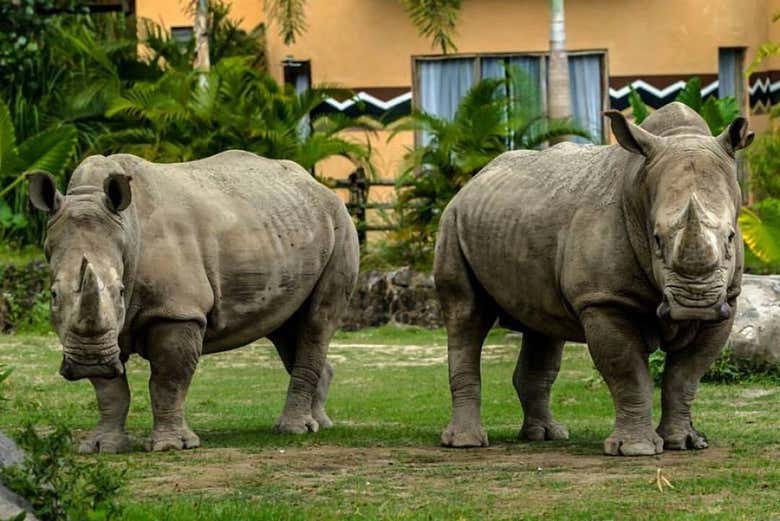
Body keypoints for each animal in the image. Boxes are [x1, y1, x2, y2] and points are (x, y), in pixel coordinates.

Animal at [28, 150, 359, 453]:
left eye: (120, 291)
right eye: (54, 295)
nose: (89, 360)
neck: (124, 229)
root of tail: (320, 187)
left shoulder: (178, 311)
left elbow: (168, 379)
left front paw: (171, 446)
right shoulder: (104, 332)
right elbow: (109, 389)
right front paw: (102, 446)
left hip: (342, 227)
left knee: (316, 323)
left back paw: (293, 430)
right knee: (287, 330)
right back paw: (320, 424)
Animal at [434, 102, 753, 456]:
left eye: (730, 237)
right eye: (656, 239)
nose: (695, 303)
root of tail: (473, 180)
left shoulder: (728, 299)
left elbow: (686, 376)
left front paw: (683, 443)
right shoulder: (603, 299)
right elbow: (628, 372)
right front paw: (636, 449)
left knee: (542, 327)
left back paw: (546, 435)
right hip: (452, 221)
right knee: (466, 315)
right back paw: (466, 442)